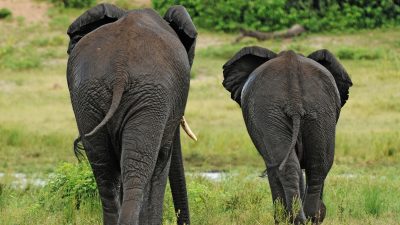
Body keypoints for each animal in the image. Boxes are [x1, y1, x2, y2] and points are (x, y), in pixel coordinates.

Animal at [67, 3, 198, 225]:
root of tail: (120, 70)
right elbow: (163, 159)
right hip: (150, 95)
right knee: (140, 168)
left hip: (89, 95)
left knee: (105, 171)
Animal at [222, 46, 354, 223]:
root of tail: (294, 97)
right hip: (317, 109)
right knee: (317, 165)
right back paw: (309, 218)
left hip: (272, 111)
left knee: (281, 165)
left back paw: (292, 219)